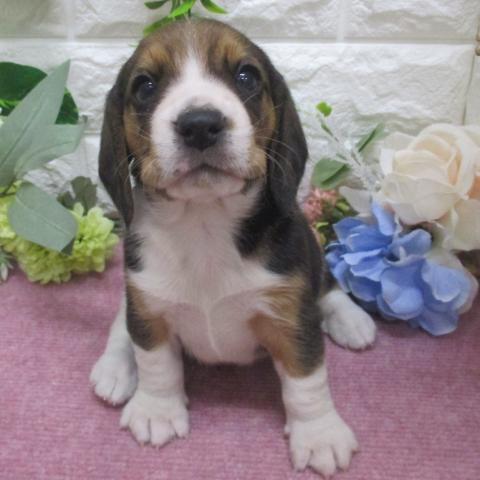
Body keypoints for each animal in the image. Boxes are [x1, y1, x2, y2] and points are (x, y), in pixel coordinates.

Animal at [90, 18, 376, 477]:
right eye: (146, 86)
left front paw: (318, 434)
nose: (200, 124)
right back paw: (116, 366)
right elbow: (155, 362)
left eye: (246, 76)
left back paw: (350, 319)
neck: (204, 221)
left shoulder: (291, 317)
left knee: (326, 285)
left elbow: (306, 380)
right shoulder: (150, 307)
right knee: (124, 318)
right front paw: (156, 409)